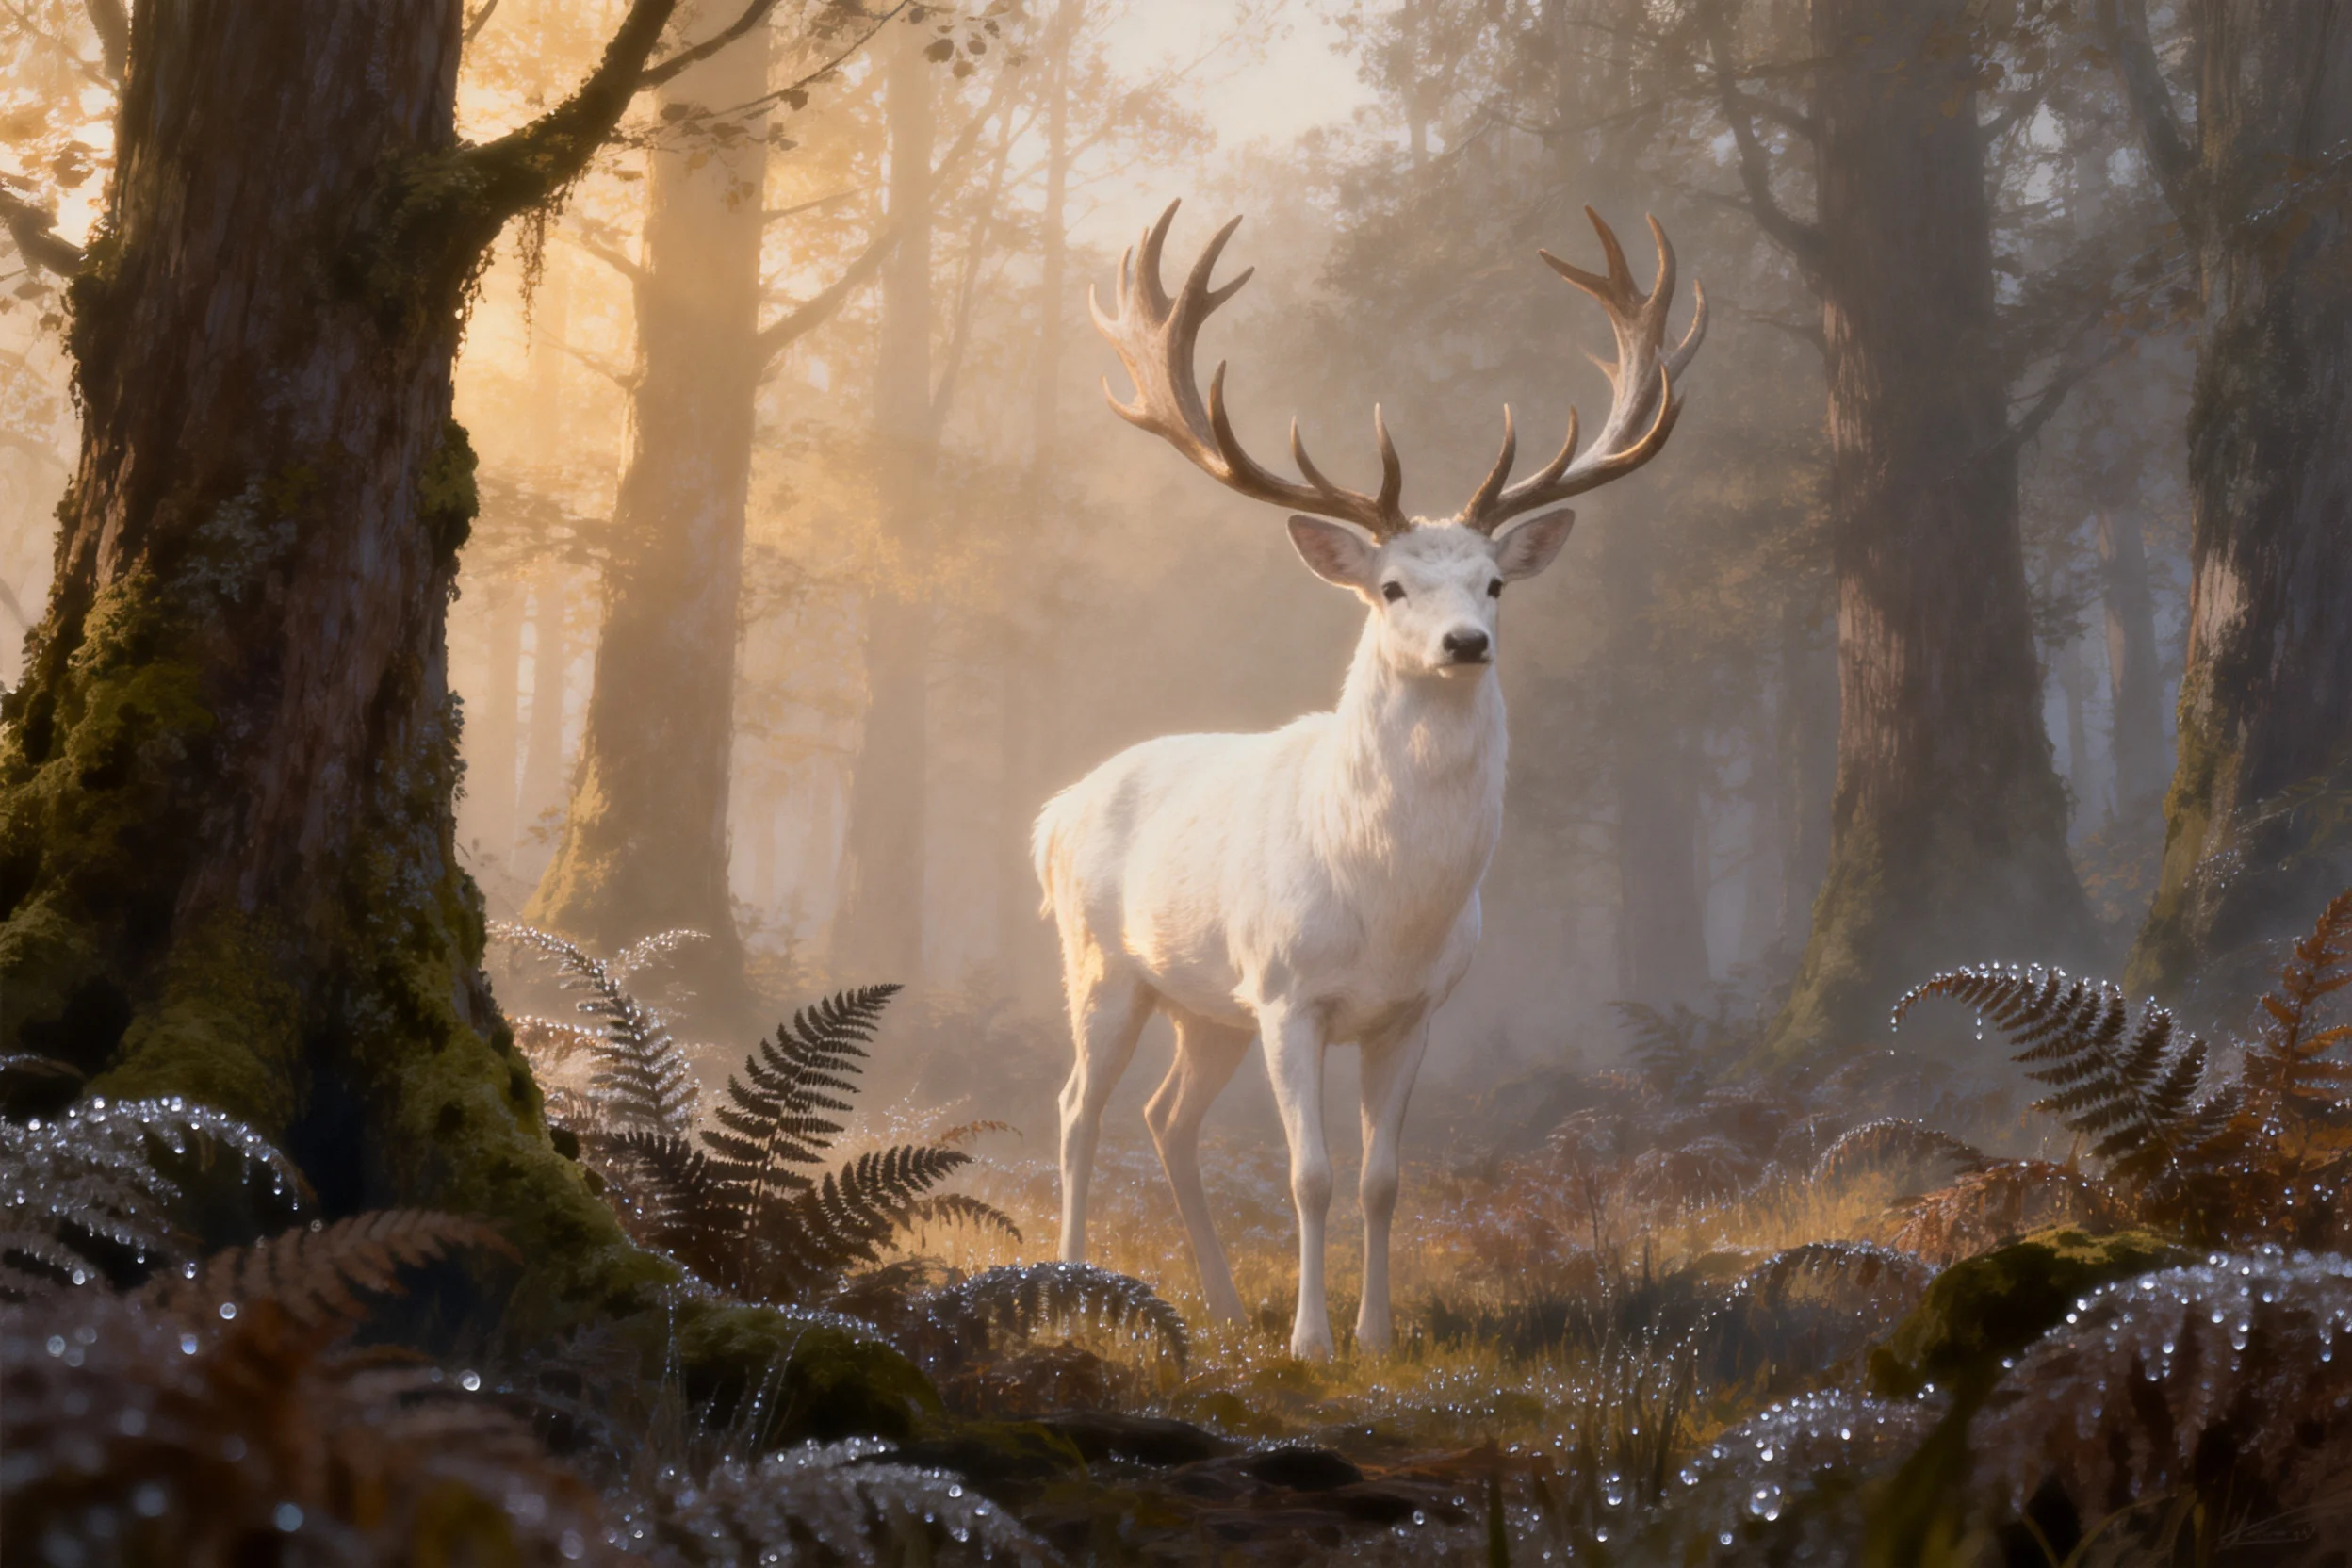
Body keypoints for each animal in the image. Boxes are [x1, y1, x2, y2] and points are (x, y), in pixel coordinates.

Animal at [1032, 201, 1704, 1358]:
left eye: (1493, 581)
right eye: (1390, 586)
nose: (1467, 643)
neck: (1388, 907)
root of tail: (1052, 811)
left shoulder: (1416, 1008)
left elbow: (1384, 1179)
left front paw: (1378, 1336)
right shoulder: (1288, 991)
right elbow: (1308, 1175)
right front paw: (1311, 1343)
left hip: (1208, 1007)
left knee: (1168, 1118)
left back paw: (1219, 1304)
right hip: (1104, 964)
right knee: (1080, 1111)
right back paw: (1078, 1284)